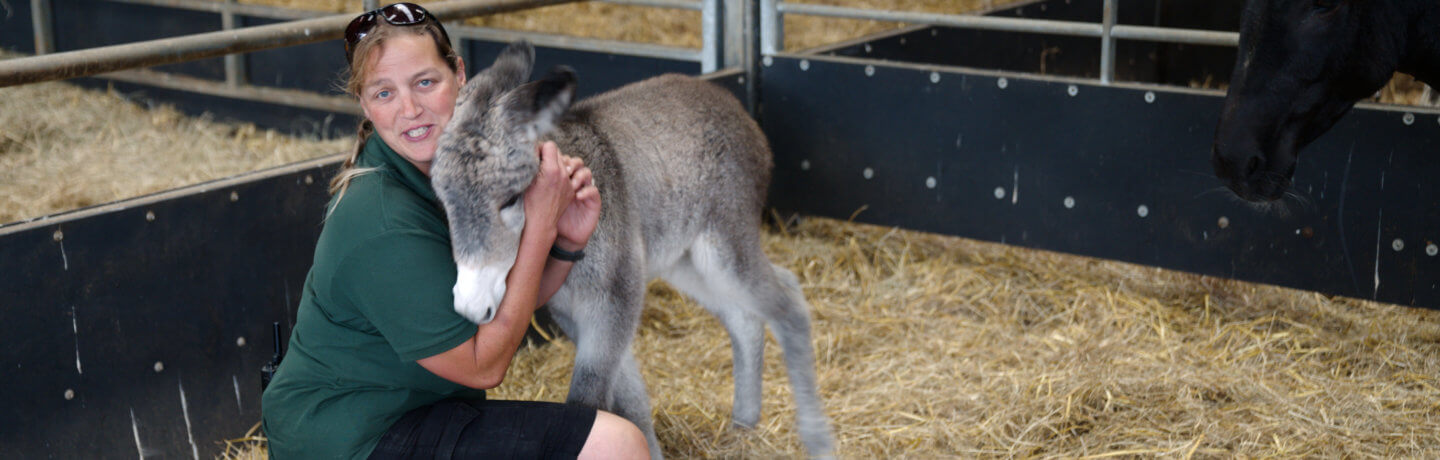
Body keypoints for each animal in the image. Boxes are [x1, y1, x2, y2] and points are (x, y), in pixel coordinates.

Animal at [429, 41, 835, 458]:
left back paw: (817, 440)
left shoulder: (614, 300)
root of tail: (736, 108)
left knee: (788, 305)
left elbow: (589, 400)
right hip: (685, 262)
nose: (469, 306)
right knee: (748, 316)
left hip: (724, 248)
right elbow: (632, 400)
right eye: (443, 203)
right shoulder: (578, 313)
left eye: (510, 199)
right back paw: (744, 424)